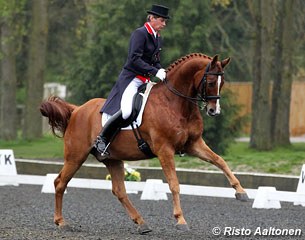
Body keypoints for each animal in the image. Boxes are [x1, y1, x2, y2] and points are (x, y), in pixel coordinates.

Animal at [39, 53, 247, 234]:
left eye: (222, 83)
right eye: (211, 82)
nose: (214, 111)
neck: (176, 103)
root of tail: (76, 110)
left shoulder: (194, 144)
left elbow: (220, 161)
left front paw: (241, 192)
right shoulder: (165, 150)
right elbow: (174, 184)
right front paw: (180, 219)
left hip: (113, 159)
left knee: (119, 191)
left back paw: (141, 223)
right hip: (76, 156)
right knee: (60, 182)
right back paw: (61, 222)